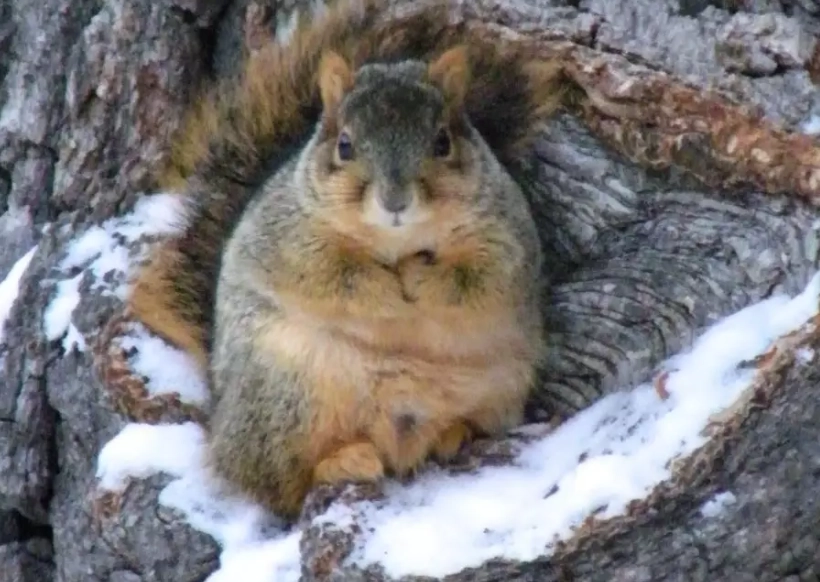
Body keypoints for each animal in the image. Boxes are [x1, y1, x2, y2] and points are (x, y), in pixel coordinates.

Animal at [127, 0, 569, 520]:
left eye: (443, 142)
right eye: (345, 145)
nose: (395, 199)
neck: (397, 243)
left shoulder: (506, 234)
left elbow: (480, 278)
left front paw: (420, 281)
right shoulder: (290, 237)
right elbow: (333, 275)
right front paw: (390, 294)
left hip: (499, 386)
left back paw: (451, 434)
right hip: (287, 393)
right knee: (276, 482)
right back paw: (342, 461)